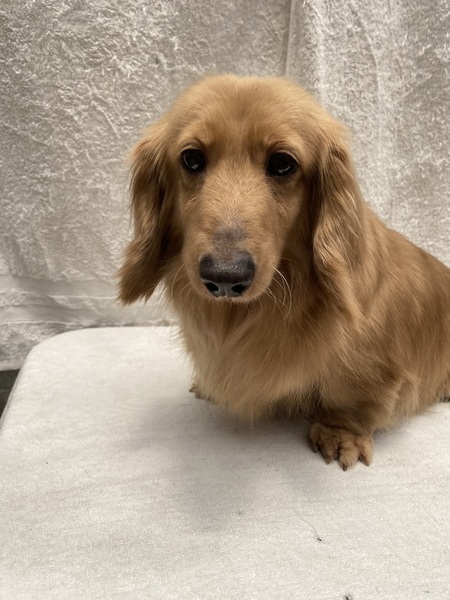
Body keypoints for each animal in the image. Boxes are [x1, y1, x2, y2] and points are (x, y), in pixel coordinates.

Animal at [119, 75, 450, 469]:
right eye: (192, 158)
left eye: (282, 163)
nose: (225, 277)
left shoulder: (372, 365)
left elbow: (350, 399)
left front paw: (340, 433)